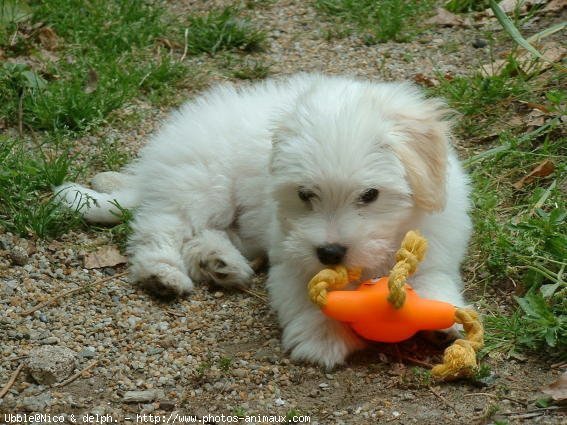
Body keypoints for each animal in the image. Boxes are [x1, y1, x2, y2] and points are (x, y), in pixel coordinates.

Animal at [55, 73, 472, 368]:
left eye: (370, 195)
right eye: (305, 194)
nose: (330, 252)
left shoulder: (435, 246)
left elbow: (433, 281)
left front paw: (446, 320)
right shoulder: (292, 254)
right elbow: (307, 294)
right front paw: (322, 339)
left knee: (204, 235)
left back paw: (218, 263)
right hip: (200, 184)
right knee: (161, 227)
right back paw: (162, 273)